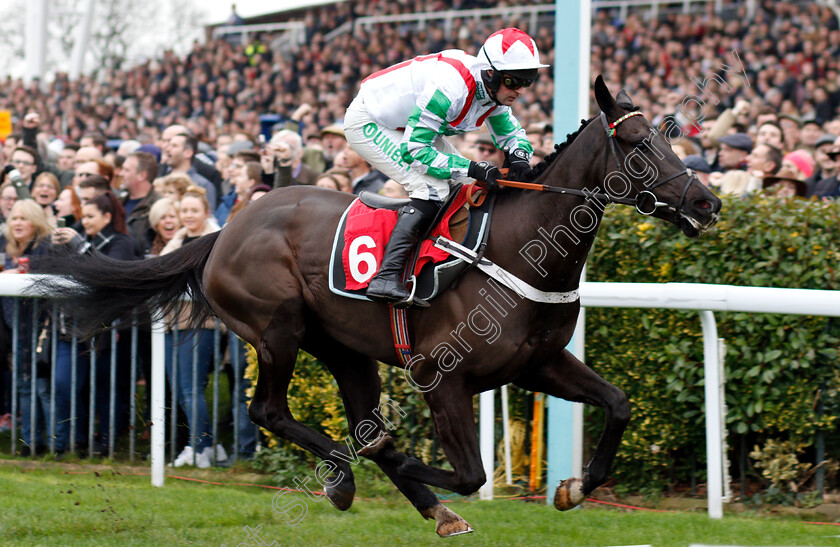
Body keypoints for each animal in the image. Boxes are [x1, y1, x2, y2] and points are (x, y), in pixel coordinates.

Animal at [36, 78, 720, 540]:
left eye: (670, 136)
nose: (707, 202)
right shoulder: (441, 376)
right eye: (635, 142)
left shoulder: (538, 364)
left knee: (353, 421)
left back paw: (415, 501)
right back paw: (350, 475)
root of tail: (226, 228)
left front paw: (574, 487)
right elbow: (470, 473)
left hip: (345, 350)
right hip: (277, 328)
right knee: (270, 411)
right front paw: (405, 463)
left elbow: (619, 404)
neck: (520, 249)